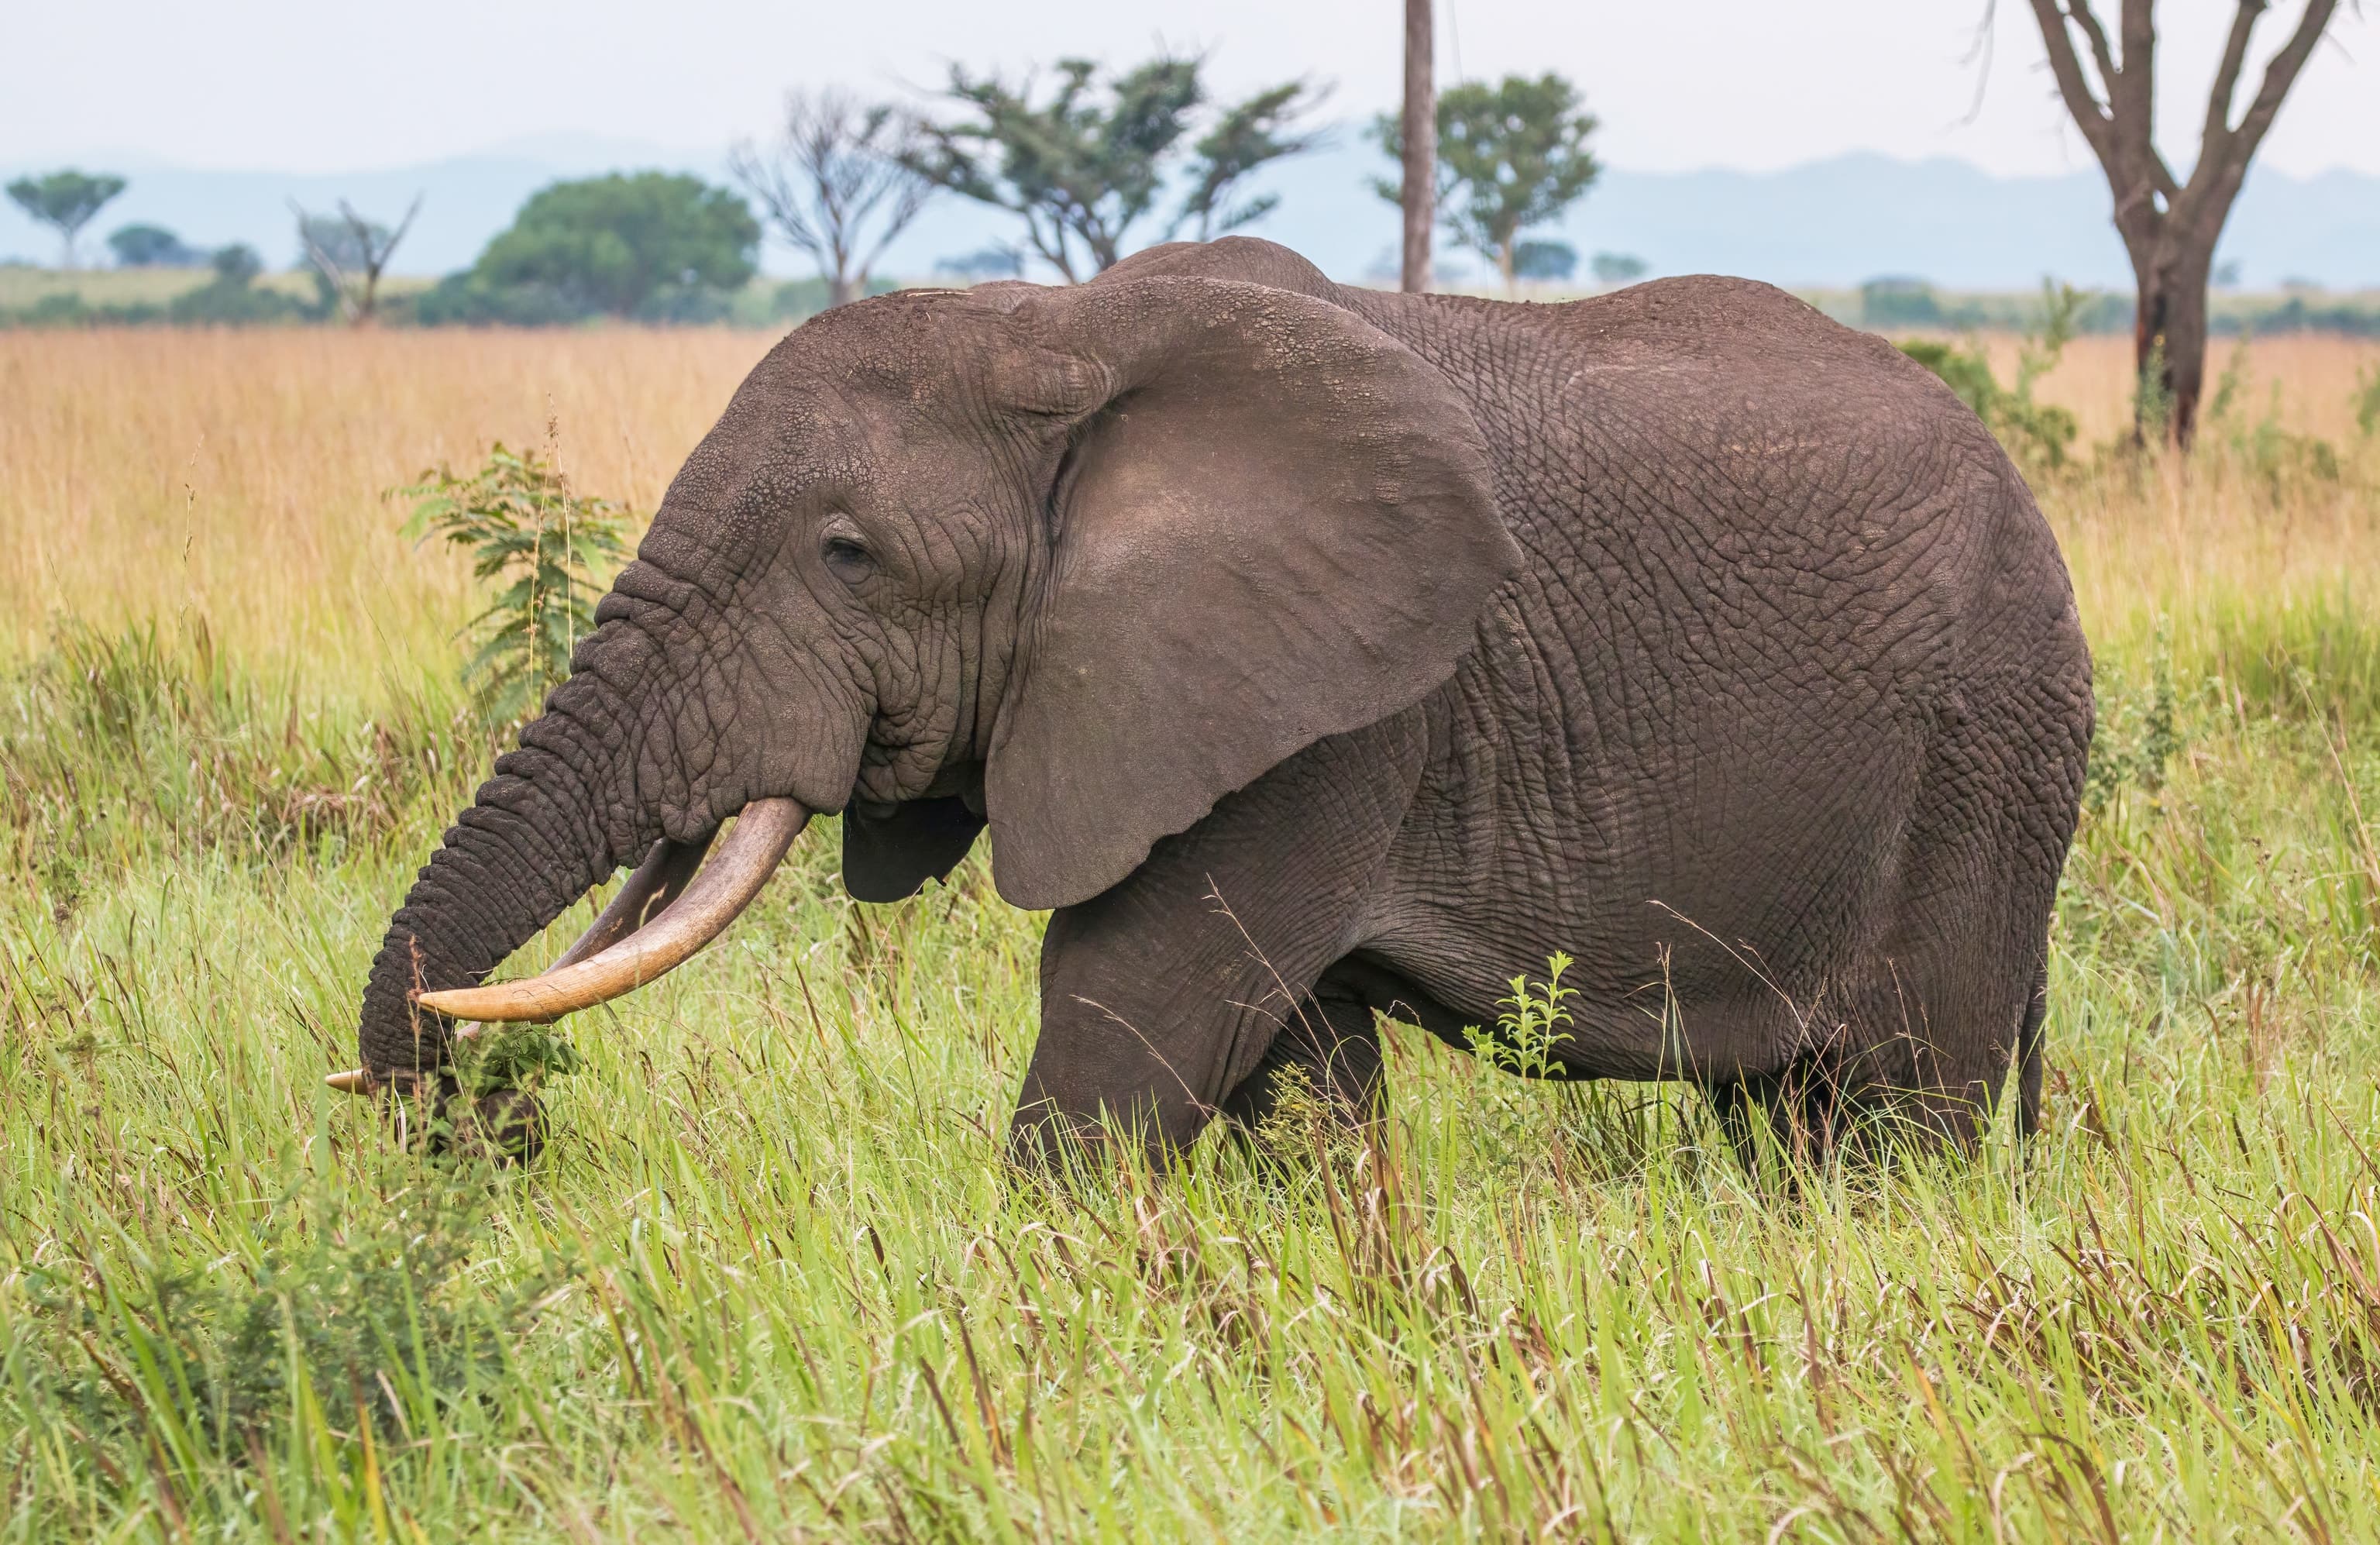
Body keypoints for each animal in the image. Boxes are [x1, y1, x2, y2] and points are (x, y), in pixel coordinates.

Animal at [337, 236, 2094, 1166]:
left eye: (846, 556)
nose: (466, 1121)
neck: (1058, 334)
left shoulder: (1344, 710)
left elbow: (1133, 1011)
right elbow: (1294, 1071)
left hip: (1985, 741)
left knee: (1900, 1107)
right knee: (1782, 1113)